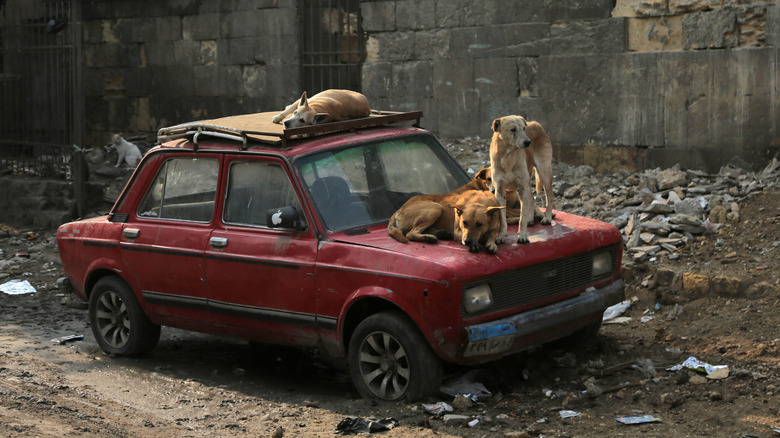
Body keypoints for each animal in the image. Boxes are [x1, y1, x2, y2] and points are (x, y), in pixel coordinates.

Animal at [490, 114, 556, 245]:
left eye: (524, 129)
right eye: (513, 129)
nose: (528, 142)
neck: (507, 157)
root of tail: (536, 123)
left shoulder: (522, 187)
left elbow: (521, 217)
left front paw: (523, 236)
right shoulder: (500, 191)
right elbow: (503, 218)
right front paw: (501, 236)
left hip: (544, 172)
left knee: (550, 196)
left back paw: (547, 217)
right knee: (531, 198)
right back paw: (531, 219)